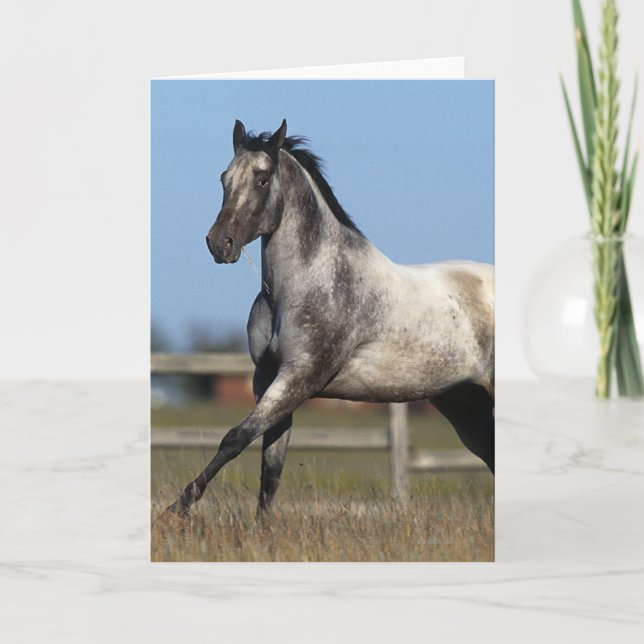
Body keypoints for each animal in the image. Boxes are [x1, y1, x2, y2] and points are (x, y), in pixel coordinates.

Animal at [161, 119, 494, 521]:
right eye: (224, 178)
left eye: (262, 178)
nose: (219, 243)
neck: (303, 285)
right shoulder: (268, 379)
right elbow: (271, 467)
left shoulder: (300, 376)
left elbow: (235, 438)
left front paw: (173, 511)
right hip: (464, 405)